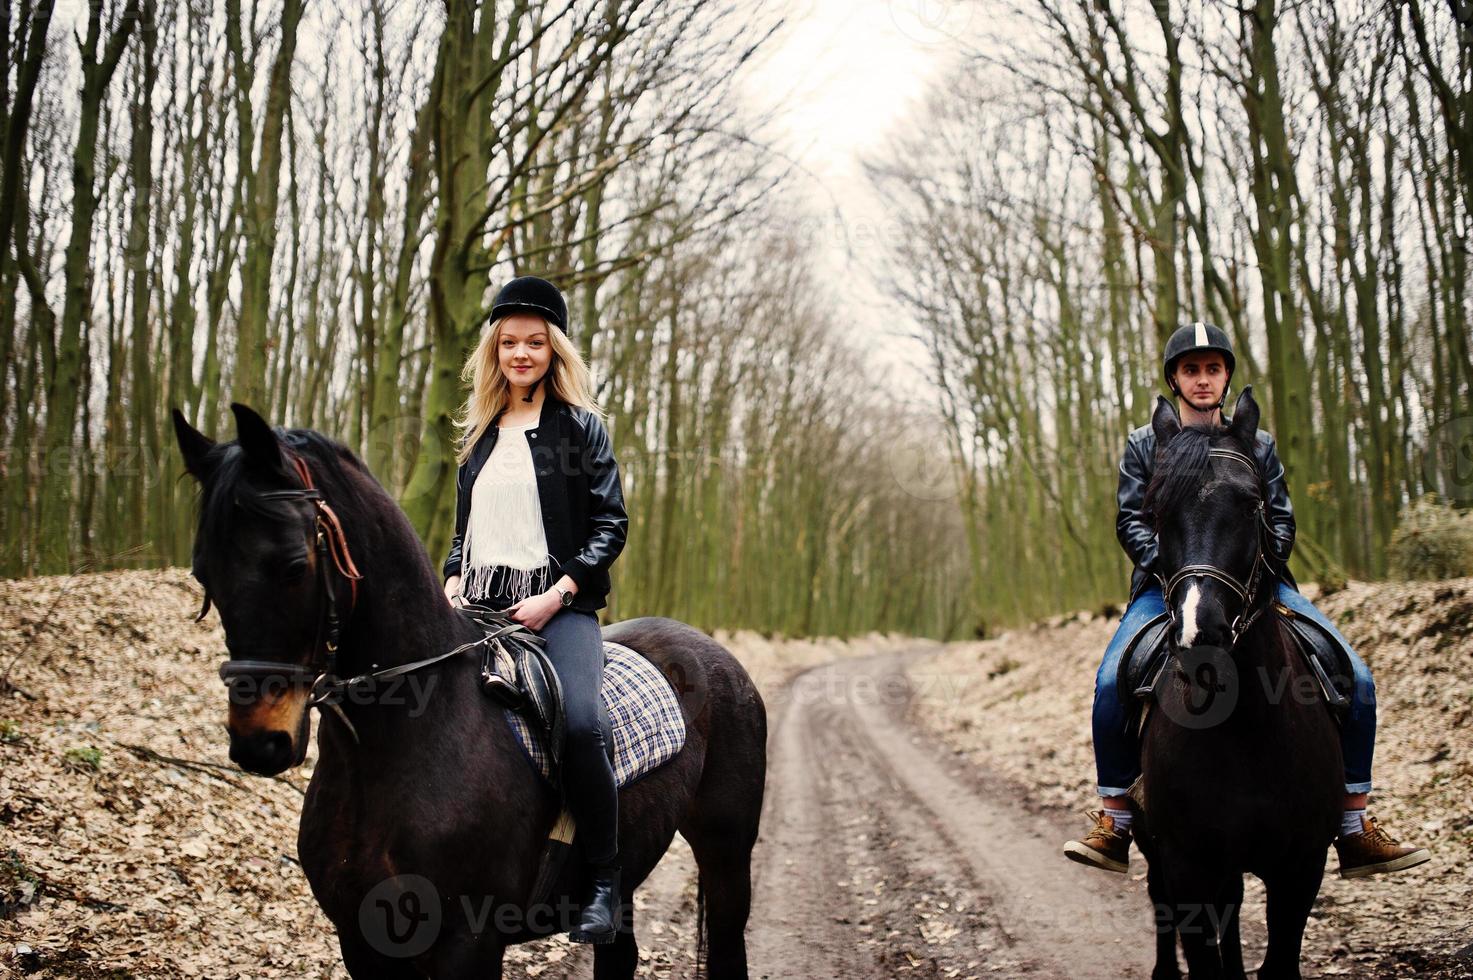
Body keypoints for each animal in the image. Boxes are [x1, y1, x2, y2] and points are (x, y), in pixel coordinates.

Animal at [173, 400, 771, 972]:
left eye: (295, 566)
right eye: (203, 574)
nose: (259, 743)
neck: (405, 736)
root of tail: (716, 652)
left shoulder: (470, 941)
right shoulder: (361, 940)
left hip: (725, 852)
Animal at [1131, 389, 1343, 978]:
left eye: (1253, 504)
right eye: (1155, 514)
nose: (1200, 633)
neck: (1249, 728)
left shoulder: (1301, 869)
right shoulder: (1189, 866)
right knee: (1160, 898)